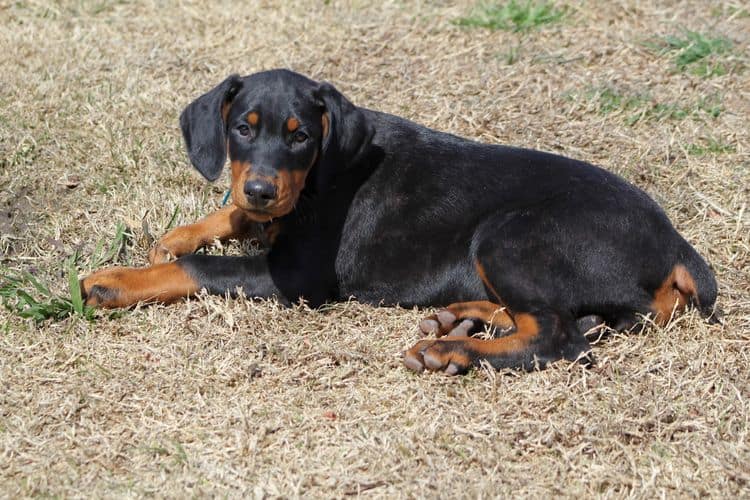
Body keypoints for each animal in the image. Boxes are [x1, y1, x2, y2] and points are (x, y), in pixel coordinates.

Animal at [79, 69, 720, 376]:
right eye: (242, 127)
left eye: (301, 138)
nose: (262, 188)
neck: (319, 177)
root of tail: (676, 244)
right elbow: (231, 216)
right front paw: (178, 235)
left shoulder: (297, 278)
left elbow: (199, 268)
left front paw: (115, 280)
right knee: (558, 319)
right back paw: (459, 319)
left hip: (508, 235)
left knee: (561, 337)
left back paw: (453, 352)